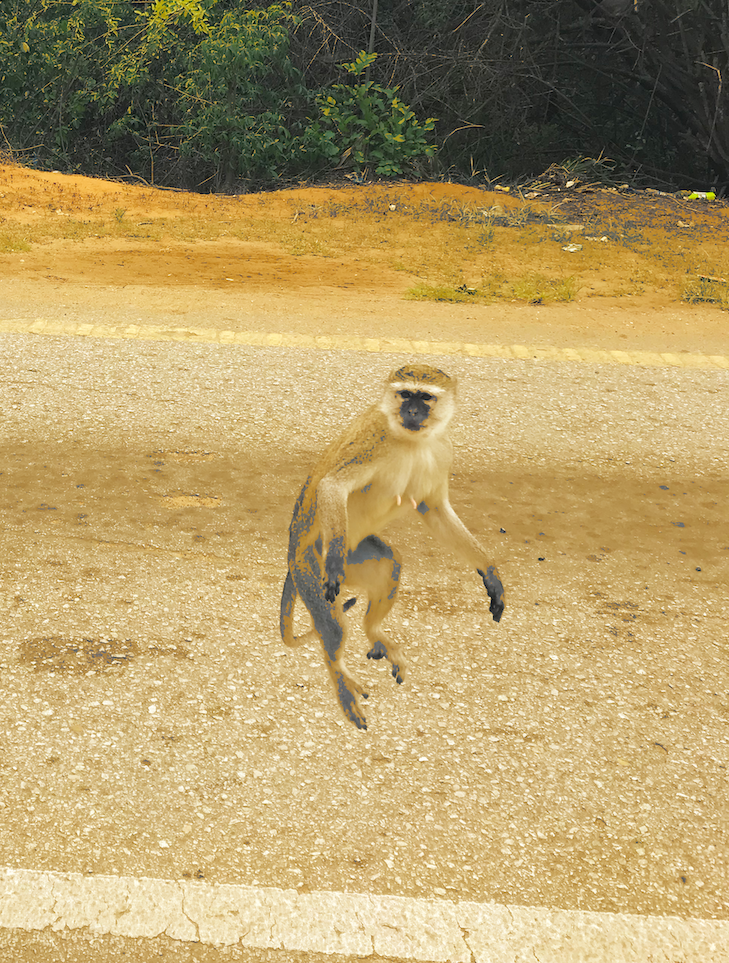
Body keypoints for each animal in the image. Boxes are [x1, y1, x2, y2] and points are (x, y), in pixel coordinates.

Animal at [280, 362, 506, 732]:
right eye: (405, 394)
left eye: (425, 397)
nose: (411, 411)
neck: (412, 441)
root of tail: (291, 552)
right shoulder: (373, 442)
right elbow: (333, 486)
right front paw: (334, 564)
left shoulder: (442, 450)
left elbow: (434, 510)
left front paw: (489, 571)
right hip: (308, 563)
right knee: (333, 624)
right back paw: (340, 677)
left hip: (358, 555)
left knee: (390, 565)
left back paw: (374, 634)